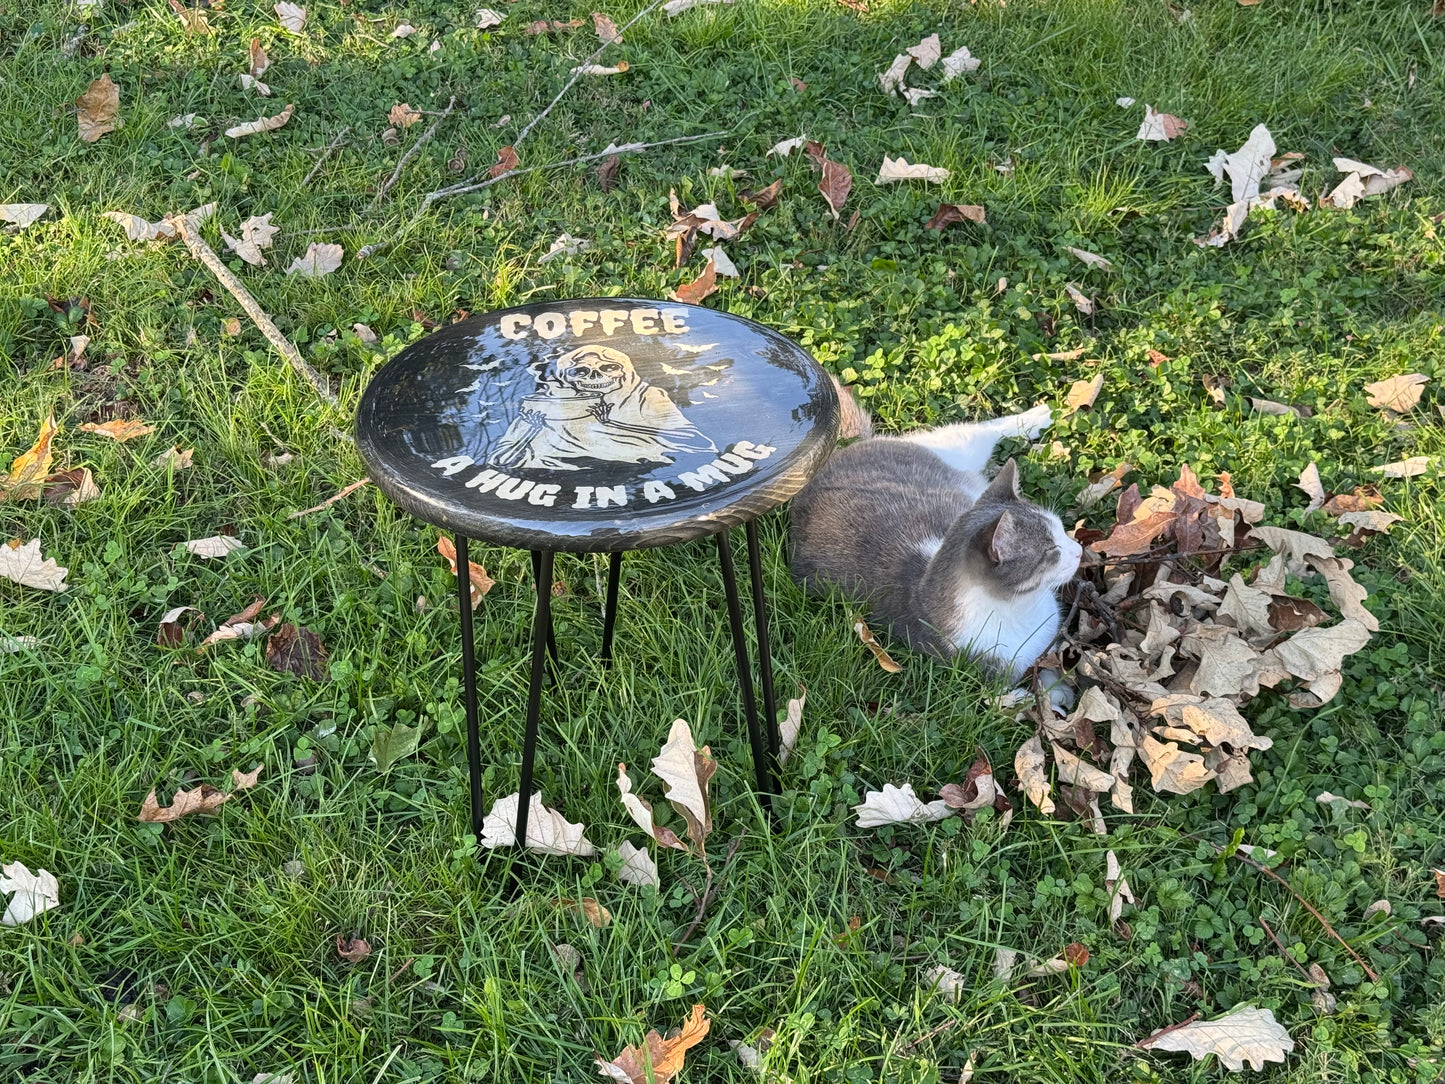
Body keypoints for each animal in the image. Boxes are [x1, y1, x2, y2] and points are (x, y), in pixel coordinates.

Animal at [791, 404, 1086, 682]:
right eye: (1052, 550)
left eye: (1061, 529)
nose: (1079, 550)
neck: (1020, 610)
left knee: (985, 428)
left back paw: (1042, 414)